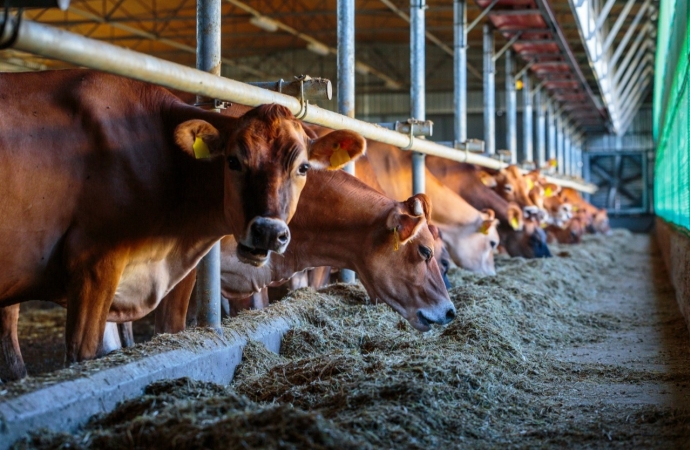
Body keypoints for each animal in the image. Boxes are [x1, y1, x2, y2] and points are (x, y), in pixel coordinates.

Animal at [0, 70, 362, 380]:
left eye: (303, 167)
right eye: (233, 161)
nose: (269, 232)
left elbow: (170, 328)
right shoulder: (92, 264)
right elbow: (82, 353)